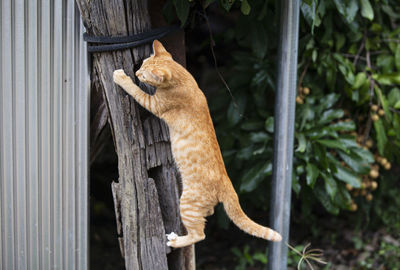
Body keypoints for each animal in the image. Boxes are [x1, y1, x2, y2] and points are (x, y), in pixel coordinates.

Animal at [112, 39, 282, 248]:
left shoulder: (153, 104)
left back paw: (175, 241)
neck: (183, 79)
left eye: (143, 73)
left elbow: (135, 90)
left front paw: (121, 77)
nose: (136, 73)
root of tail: (227, 183)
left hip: (187, 204)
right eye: (142, 65)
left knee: (199, 235)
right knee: (208, 214)